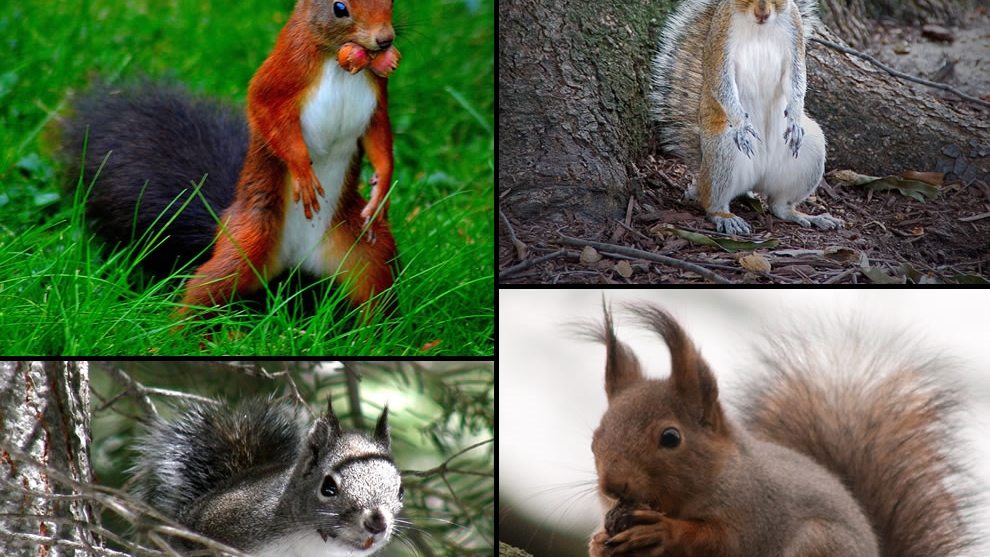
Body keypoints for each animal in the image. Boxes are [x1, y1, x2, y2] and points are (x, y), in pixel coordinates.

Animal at [60, 0, 402, 318]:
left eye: (390, 3)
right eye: (339, 8)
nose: (385, 40)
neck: (338, 61)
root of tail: (297, 259)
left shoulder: (377, 93)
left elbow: (378, 134)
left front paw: (381, 187)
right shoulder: (282, 71)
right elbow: (266, 113)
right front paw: (302, 171)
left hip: (363, 247)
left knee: (377, 289)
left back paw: (375, 333)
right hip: (248, 241)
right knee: (207, 285)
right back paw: (180, 333)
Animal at [585, 303, 972, 557]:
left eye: (670, 437)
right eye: (594, 439)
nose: (612, 485)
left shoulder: (759, 514)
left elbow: (721, 541)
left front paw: (663, 531)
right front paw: (598, 543)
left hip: (819, 545)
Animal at [651, 0, 843, 235]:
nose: (762, 13)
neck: (759, 28)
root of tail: (758, 179)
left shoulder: (794, 32)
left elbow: (797, 80)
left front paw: (795, 118)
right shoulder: (721, 36)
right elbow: (722, 82)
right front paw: (743, 126)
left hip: (810, 154)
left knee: (779, 205)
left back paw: (805, 216)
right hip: (722, 151)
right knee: (711, 199)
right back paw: (725, 217)